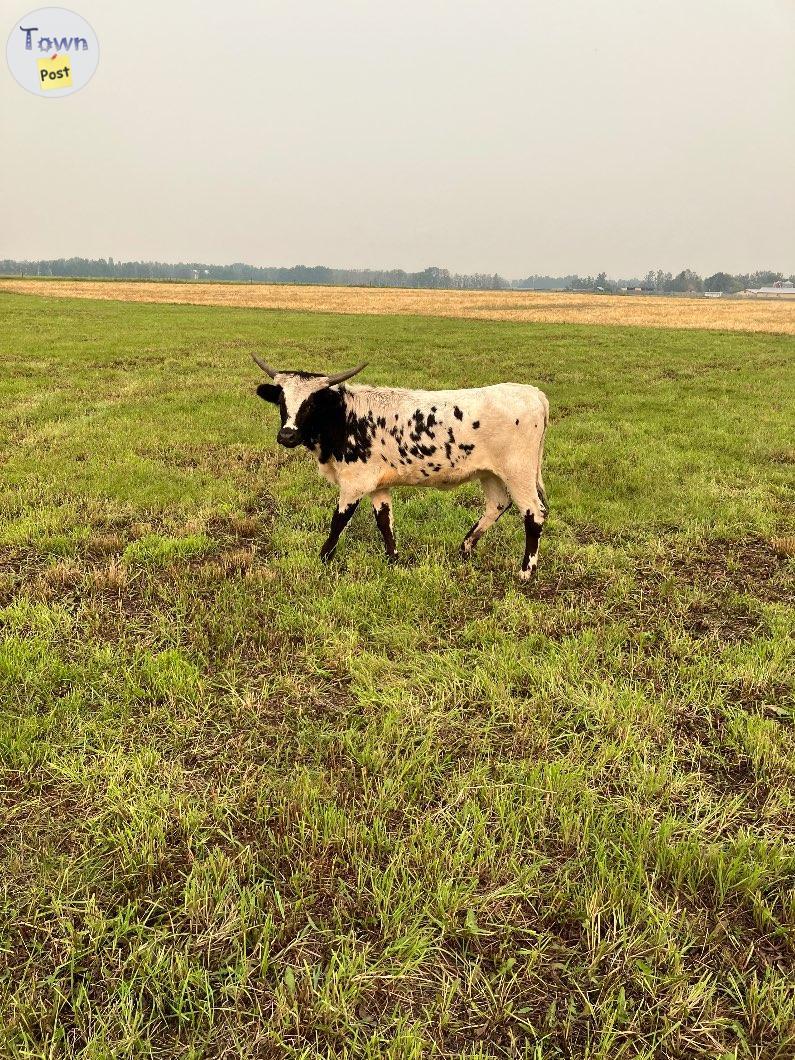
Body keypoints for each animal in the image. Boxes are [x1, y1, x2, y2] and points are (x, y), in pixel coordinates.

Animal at [255, 362, 546, 580]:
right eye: (281, 399)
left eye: (313, 403)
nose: (287, 436)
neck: (345, 417)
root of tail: (533, 393)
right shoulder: (378, 484)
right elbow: (384, 520)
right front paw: (393, 558)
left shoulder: (353, 483)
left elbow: (338, 522)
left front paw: (324, 558)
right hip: (491, 473)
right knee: (497, 505)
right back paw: (465, 548)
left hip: (518, 472)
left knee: (534, 513)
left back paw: (525, 571)